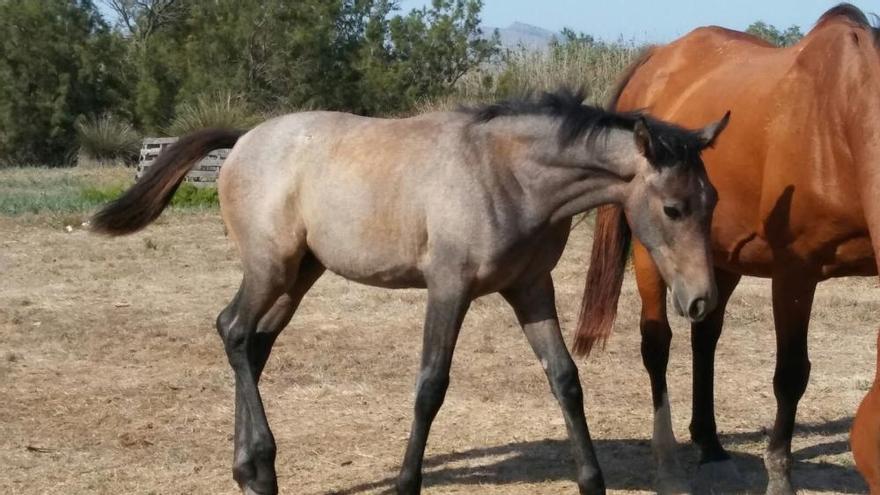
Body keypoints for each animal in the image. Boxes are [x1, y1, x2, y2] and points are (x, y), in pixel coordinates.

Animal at [91, 90, 728, 495]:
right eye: (673, 208)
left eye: (713, 201)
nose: (701, 301)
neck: (506, 174)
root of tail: (246, 138)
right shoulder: (449, 288)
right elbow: (430, 386)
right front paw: (404, 483)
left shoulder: (530, 289)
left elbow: (565, 380)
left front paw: (592, 482)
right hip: (271, 268)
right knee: (237, 333)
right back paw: (263, 469)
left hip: (300, 273)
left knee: (249, 340)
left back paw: (247, 469)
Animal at [576, 4, 880, 495]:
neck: (842, 121)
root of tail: (658, 59)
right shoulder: (795, 274)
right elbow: (791, 374)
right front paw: (779, 475)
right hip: (651, 253)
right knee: (657, 344)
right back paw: (669, 463)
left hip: (722, 258)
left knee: (706, 336)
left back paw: (711, 444)